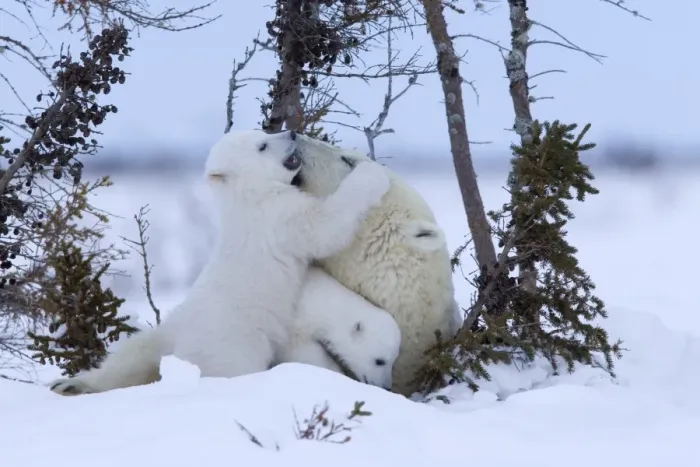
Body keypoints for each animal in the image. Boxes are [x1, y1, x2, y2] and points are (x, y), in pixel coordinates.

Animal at [48, 129, 391, 396]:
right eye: (263, 145)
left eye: (264, 132)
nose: (292, 133)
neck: (247, 196)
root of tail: (182, 353)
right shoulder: (279, 218)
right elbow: (326, 228)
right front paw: (371, 174)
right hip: (233, 346)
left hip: (168, 330)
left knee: (129, 356)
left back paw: (71, 385)